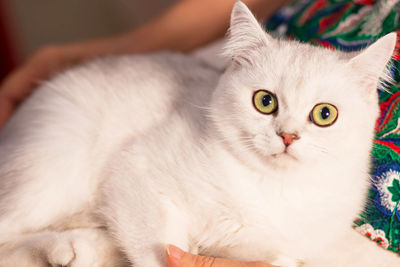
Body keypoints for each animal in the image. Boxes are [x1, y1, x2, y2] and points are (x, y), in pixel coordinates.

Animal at [0, 2, 400, 267]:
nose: (287, 136)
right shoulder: (135, 172)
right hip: (53, 170)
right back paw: (64, 248)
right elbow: (158, 248)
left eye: (324, 114)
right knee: (9, 233)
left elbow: (280, 257)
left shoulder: (280, 244)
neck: (271, 188)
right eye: (265, 101)